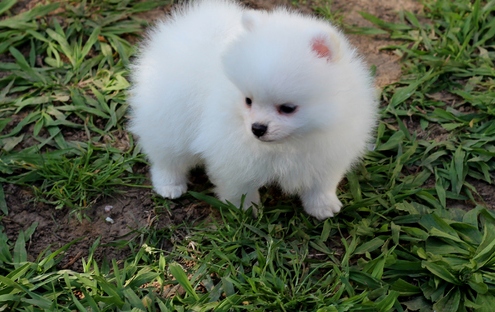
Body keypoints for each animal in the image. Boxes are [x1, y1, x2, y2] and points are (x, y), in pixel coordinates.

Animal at [130, 0, 378, 219]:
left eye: (288, 108)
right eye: (248, 100)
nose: (257, 128)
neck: (289, 144)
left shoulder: (330, 149)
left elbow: (321, 182)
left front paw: (322, 205)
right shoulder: (231, 154)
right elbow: (239, 186)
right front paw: (246, 210)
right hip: (168, 115)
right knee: (166, 155)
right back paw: (169, 184)